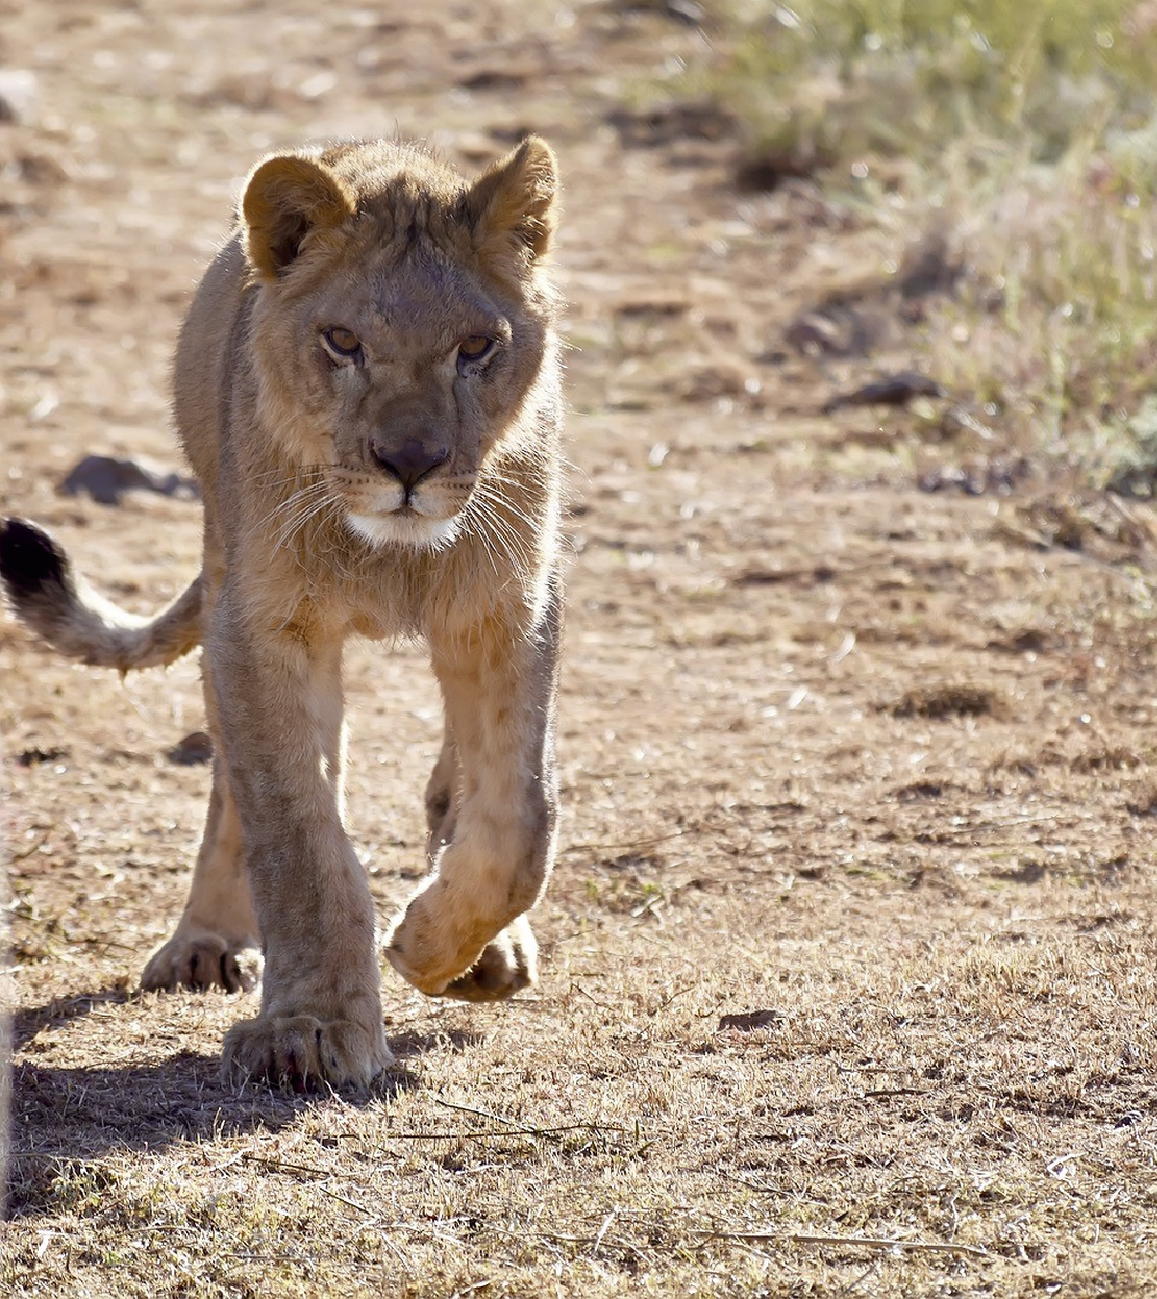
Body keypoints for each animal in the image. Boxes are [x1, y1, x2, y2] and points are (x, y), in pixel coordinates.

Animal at [0, 137, 566, 1096]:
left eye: (476, 348)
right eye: (342, 342)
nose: (409, 463)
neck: (391, 553)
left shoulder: (506, 610)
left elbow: (520, 817)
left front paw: (428, 945)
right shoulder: (261, 630)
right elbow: (299, 835)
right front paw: (313, 1028)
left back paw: (485, 952)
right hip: (229, 564)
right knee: (249, 781)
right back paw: (205, 943)